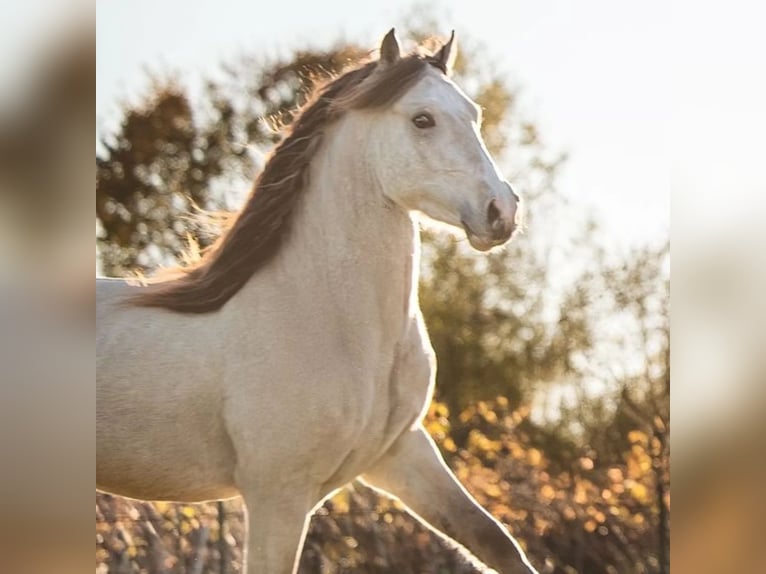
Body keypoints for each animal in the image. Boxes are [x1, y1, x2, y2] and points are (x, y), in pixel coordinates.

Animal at [96, 29, 540, 572]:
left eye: (473, 114)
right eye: (422, 119)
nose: (502, 211)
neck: (327, 319)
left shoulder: (401, 453)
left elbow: (494, 541)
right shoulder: (278, 495)